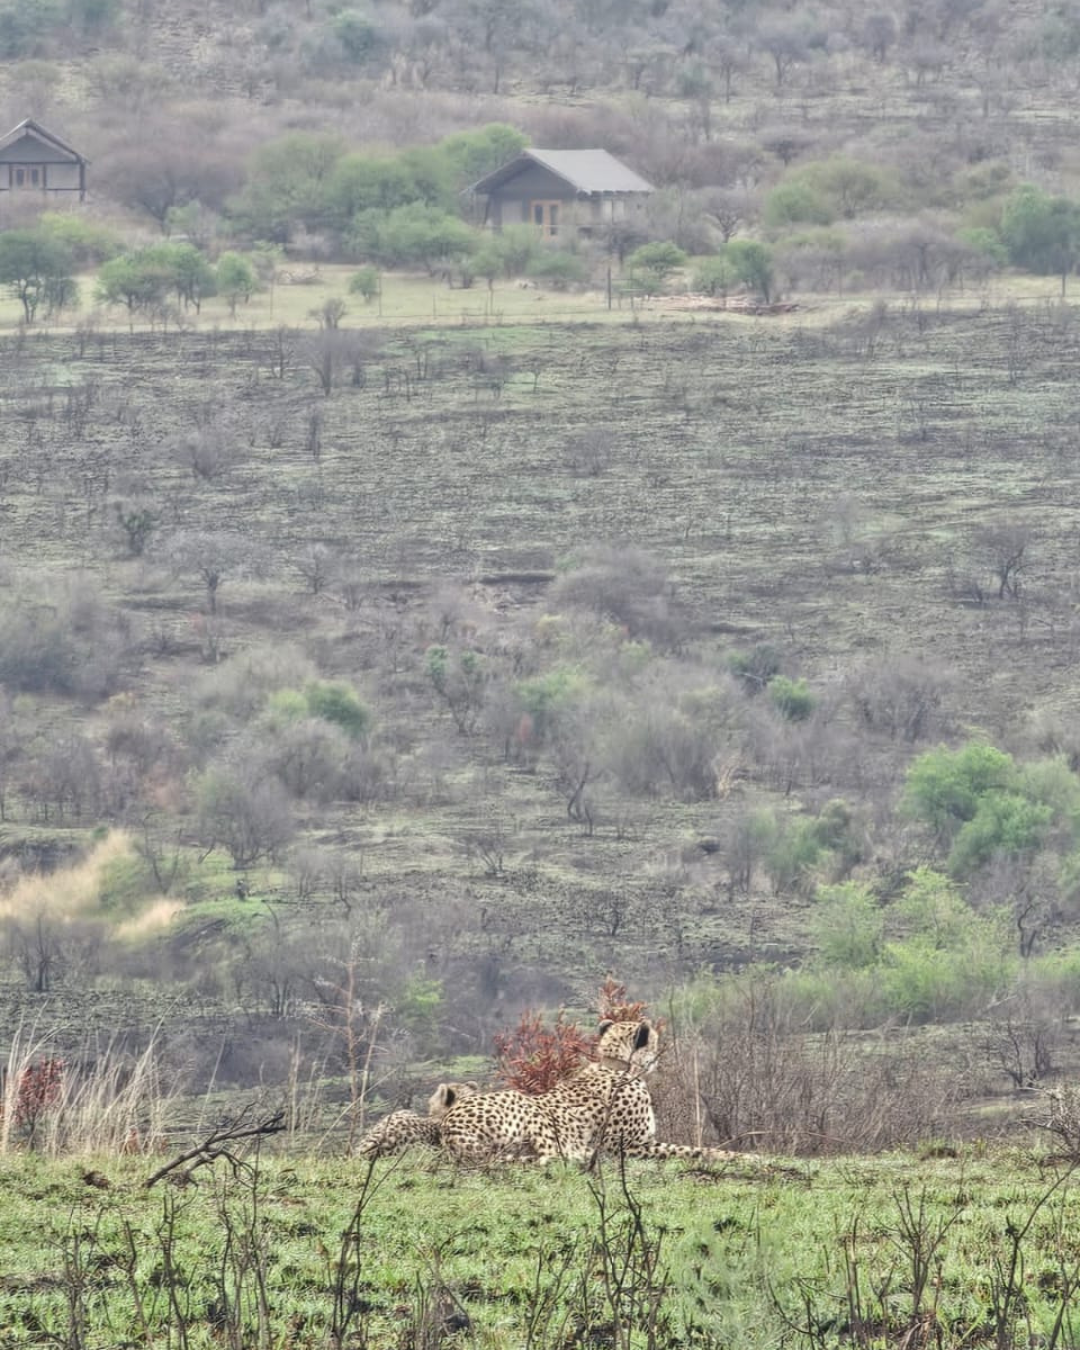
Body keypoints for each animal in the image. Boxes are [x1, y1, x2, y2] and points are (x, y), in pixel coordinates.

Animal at [438, 1018, 662, 1165]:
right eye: (655, 1042)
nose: (657, 1057)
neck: (616, 1065)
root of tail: (448, 1125)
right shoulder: (624, 1147)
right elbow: (669, 1150)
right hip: (527, 1105)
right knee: (550, 1154)